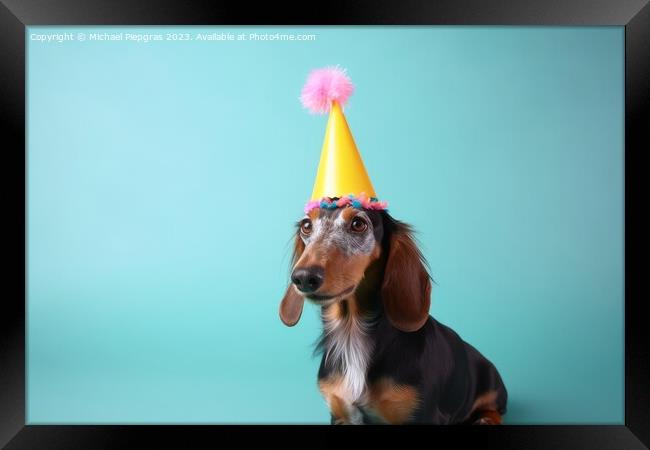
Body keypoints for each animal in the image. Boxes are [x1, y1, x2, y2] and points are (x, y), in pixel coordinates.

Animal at [278, 205, 506, 426]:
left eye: (358, 224)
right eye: (306, 225)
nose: (303, 277)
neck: (351, 332)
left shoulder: (424, 415)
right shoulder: (341, 413)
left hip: (492, 385)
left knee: (496, 409)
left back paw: (485, 419)